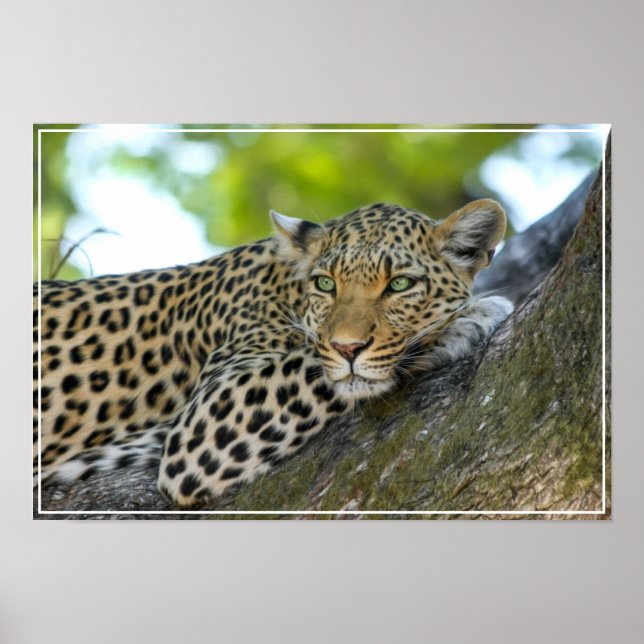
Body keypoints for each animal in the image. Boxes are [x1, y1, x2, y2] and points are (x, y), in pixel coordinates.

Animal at [33, 199, 513, 507]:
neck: (287, 288)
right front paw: (465, 319)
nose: (348, 347)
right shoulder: (205, 421)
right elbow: (314, 364)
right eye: (326, 284)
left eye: (399, 284)